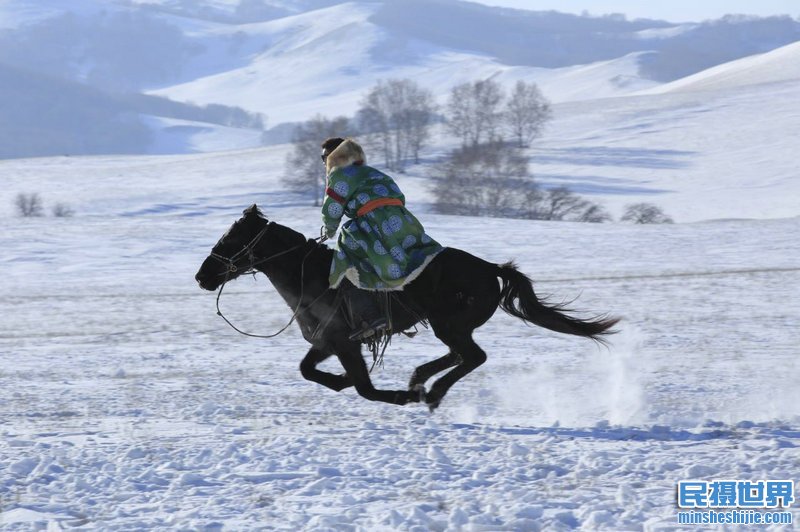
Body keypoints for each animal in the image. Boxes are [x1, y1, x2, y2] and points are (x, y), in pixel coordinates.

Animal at [194, 205, 620, 412]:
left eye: (231, 239)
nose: (202, 276)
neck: (309, 276)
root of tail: (490, 269)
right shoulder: (330, 341)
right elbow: (309, 371)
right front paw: (345, 381)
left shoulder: (343, 342)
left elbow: (365, 389)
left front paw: (400, 396)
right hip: (449, 326)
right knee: (459, 356)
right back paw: (421, 380)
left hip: (450, 324)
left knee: (472, 356)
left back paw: (428, 393)